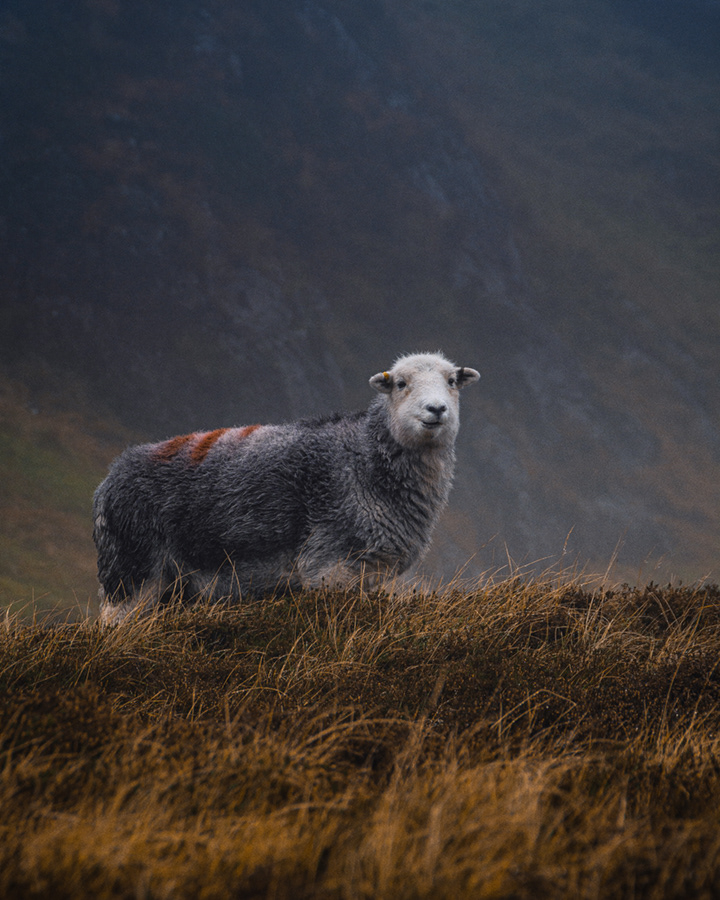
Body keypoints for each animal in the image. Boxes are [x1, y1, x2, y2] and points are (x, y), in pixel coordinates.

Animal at [93, 352, 480, 623]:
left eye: (452, 380)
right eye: (400, 383)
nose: (436, 409)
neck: (364, 455)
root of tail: (110, 477)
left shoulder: (366, 573)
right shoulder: (328, 566)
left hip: (174, 589)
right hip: (131, 570)